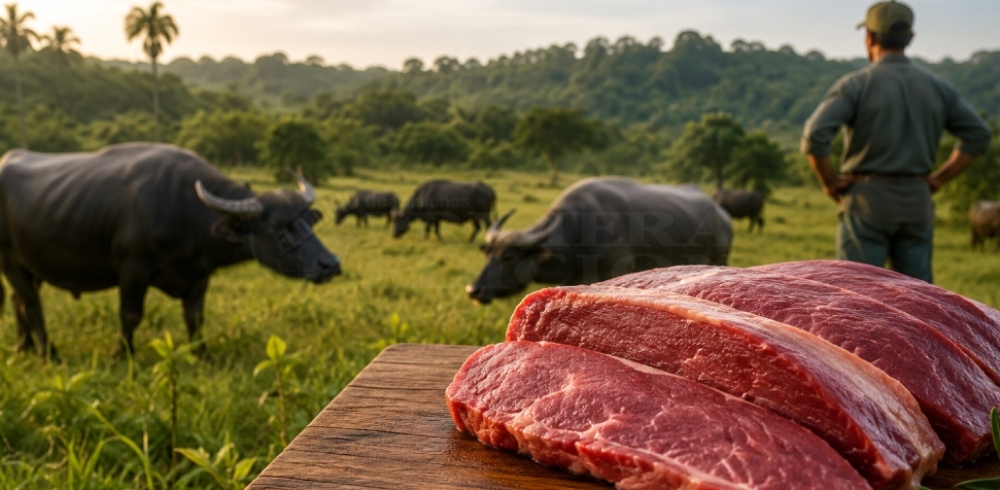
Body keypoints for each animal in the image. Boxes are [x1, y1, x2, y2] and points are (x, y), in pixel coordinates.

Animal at [0, 143, 341, 360]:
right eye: (279, 228)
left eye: (307, 221)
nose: (331, 264)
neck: (186, 211)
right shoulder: (133, 270)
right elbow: (131, 314)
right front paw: (121, 353)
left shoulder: (199, 275)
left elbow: (195, 316)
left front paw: (202, 354)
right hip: (10, 261)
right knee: (31, 304)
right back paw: (48, 352)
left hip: (32, 265)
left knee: (18, 300)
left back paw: (23, 347)